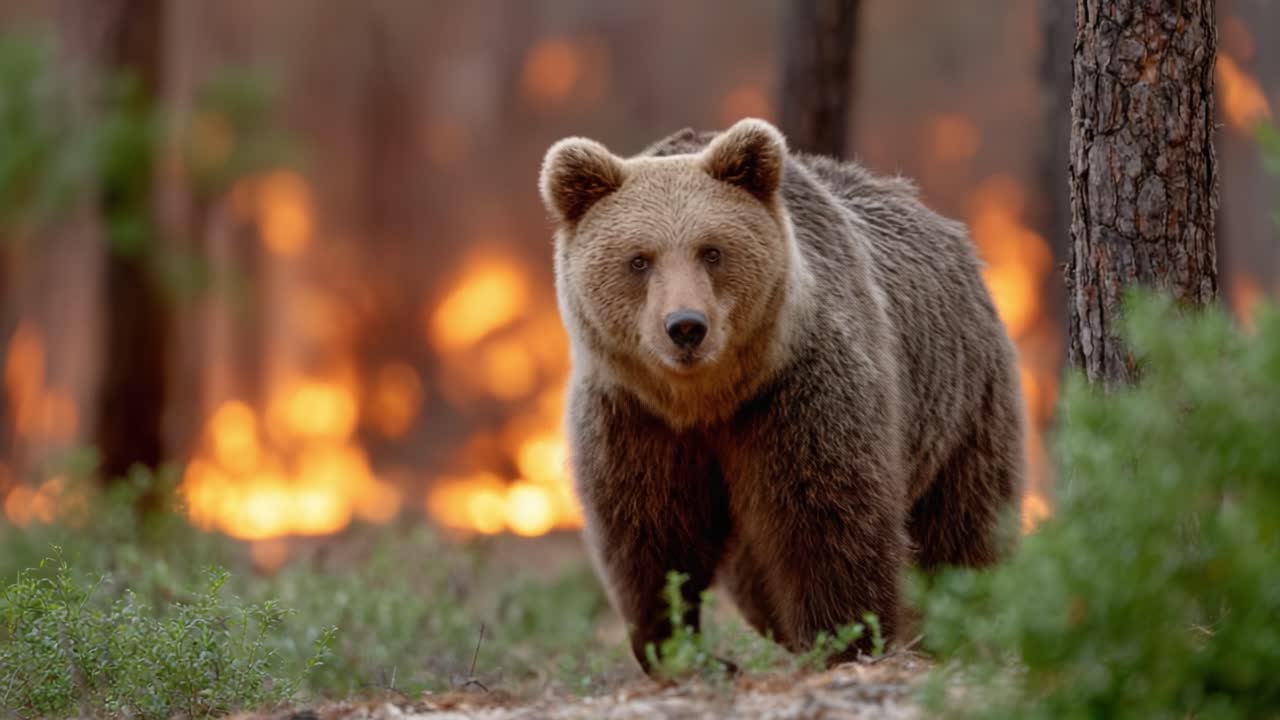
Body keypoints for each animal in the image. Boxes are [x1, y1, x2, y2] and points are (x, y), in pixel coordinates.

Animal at [538, 117, 1026, 674]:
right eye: (639, 260)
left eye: (712, 250)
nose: (685, 326)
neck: (706, 400)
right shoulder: (635, 416)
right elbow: (649, 536)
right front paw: (675, 645)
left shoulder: (795, 395)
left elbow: (828, 522)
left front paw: (843, 639)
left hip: (961, 400)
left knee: (964, 526)